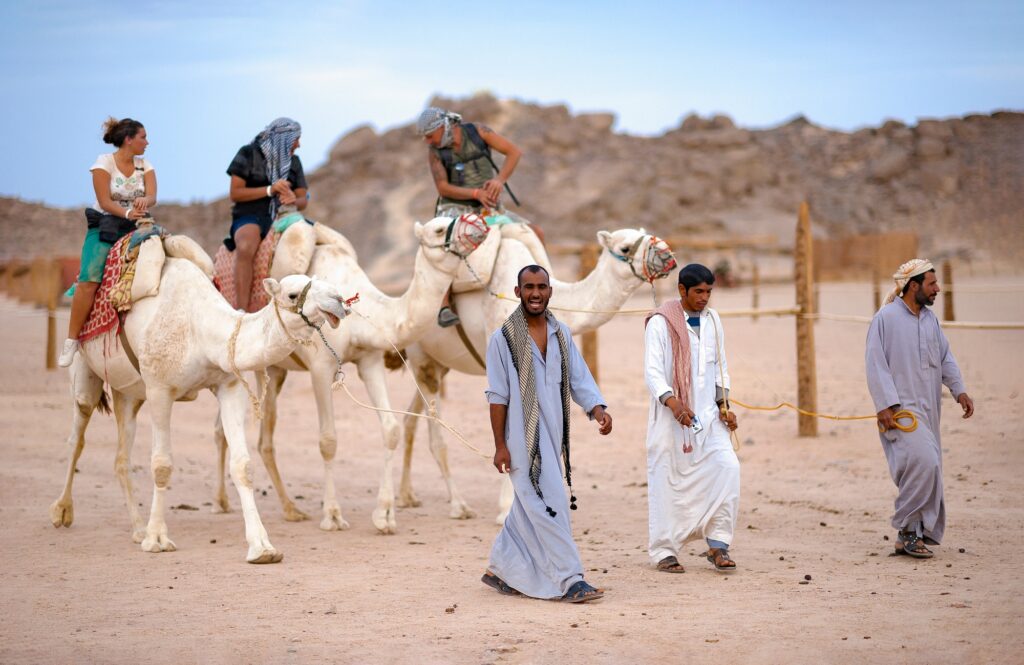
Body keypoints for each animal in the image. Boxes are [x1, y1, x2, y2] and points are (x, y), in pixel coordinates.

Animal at [49, 252, 350, 563]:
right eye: (293, 294)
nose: (339, 300)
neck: (200, 330)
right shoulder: (159, 389)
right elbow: (162, 464)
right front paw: (157, 539)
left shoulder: (229, 386)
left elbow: (242, 466)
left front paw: (262, 547)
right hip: (87, 372)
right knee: (77, 435)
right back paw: (63, 511)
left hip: (129, 394)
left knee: (121, 458)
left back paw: (137, 528)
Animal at [211, 216, 488, 534]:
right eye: (439, 228)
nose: (479, 224)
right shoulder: (321, 367)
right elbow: (328, 441)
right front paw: (332, 515)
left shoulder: (370, 359)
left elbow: (390, 430)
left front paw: (385, 515)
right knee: (242, 434)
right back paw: (245, 504)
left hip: (273, 369)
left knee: (247, 435)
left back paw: (272, 507)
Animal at [394, 228, 675, 522]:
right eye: (626, 247)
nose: (667, 255)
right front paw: (506, 510)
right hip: (421, 357)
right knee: (435, 435)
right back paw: (458, 506)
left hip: (438, 363)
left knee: (411, 419)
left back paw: (407, 496)